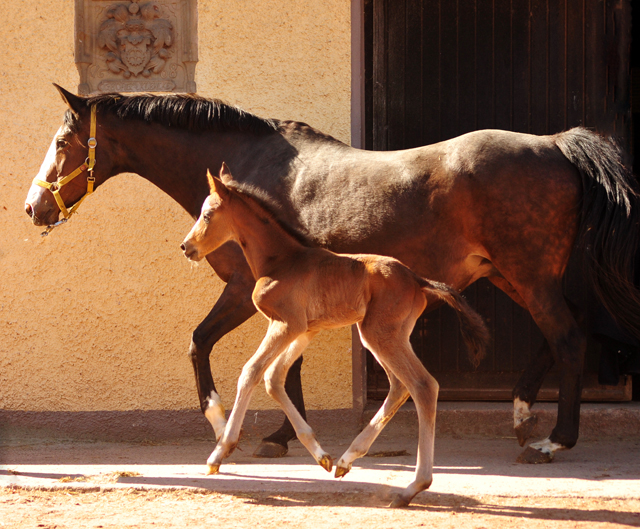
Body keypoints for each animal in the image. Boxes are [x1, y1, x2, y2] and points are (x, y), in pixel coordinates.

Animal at [181, 164, 490, 508]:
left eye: (208, 215)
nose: (187, 247)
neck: (281, 260)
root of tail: (417, 279)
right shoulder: (305, 328)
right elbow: (274, 377)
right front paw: (321, 455)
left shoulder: (284, 324)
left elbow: (252, 371)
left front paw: (220, 451)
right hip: (386, 335)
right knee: (400, 386)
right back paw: (346, 460)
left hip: (379, 334)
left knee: (423, 385)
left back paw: (411, 487)